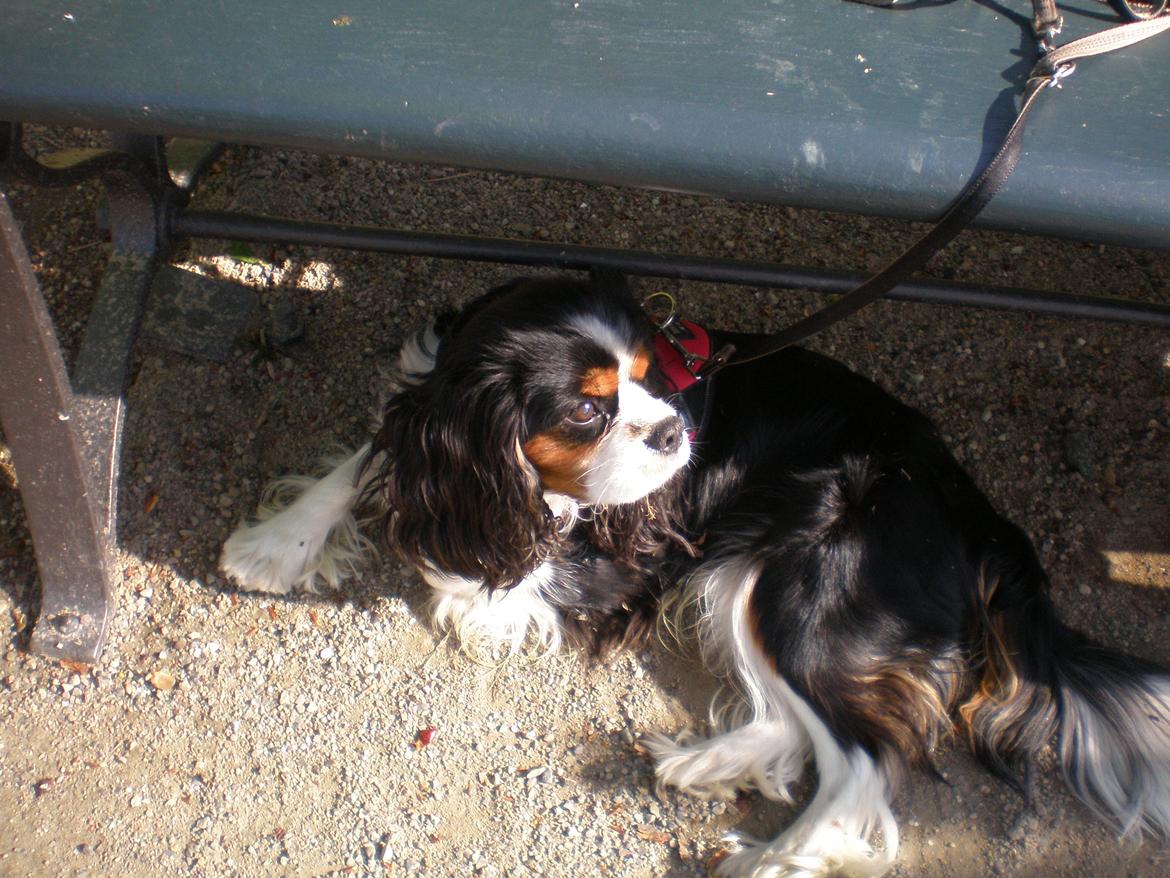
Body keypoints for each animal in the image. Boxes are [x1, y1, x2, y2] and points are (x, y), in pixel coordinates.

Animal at [219, 271, 1170, 875]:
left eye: (655, 381)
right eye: (587, 407)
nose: (675, 430)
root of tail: (976, 508)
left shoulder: (609, 552)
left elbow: (489, 567)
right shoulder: (432, 415)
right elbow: (372, 458)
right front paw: (277, 542)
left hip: (794, 579)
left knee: (862, 757)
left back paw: (775, 863)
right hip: (745, 573)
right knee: (797, 725)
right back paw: (705, 767)